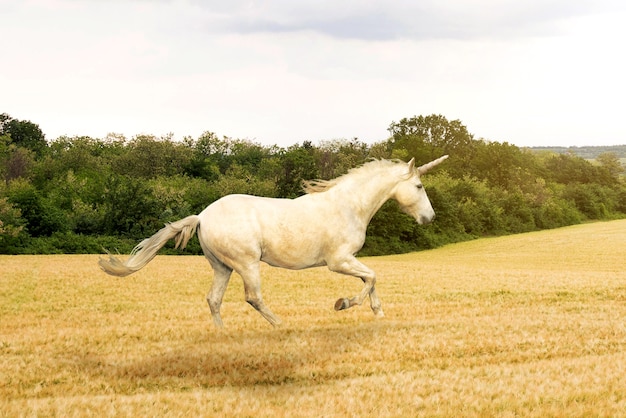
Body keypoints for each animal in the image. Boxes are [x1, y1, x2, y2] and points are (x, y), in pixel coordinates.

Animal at [98, 156, 444, 326]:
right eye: (419, 186)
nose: (429, 217)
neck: (349, 205)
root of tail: (203, 215)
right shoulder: (338, 261)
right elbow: (372, 277)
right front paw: (344, 304)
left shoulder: (348, 261)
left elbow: (372, 279)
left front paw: (378, 314)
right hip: (247, 264)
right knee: (253, 297)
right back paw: (281, 325)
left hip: (222, 267)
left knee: (214, 299)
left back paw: (222, 334)